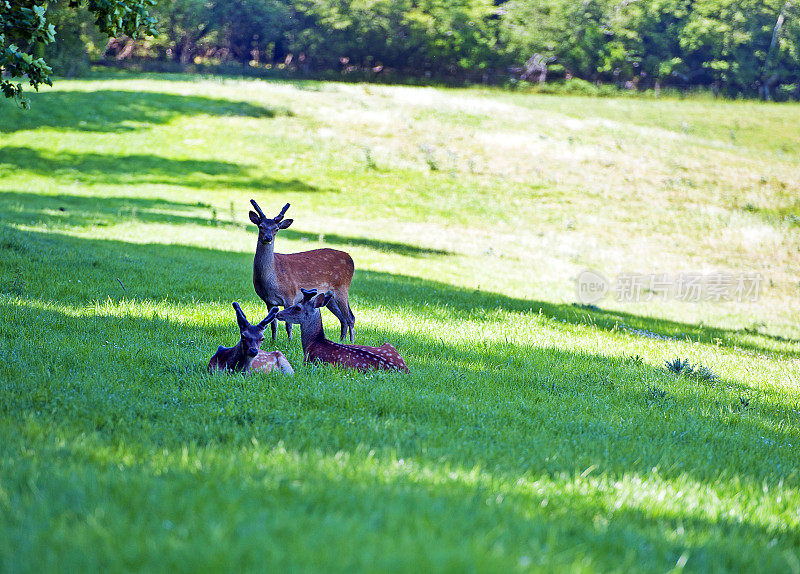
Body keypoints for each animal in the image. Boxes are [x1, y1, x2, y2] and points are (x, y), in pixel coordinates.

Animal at [247, 202, 354, 344]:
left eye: (276, 228)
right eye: (261, 226)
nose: (267, 238)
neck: (271, 279)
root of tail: (351, 259)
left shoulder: (290, 294)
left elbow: (288, 324)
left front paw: (289, 341)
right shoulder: (268, 301)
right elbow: (273, 324)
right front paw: (274, 341)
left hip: (342, 287)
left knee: (350, 317)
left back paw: (351, 342)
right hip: (328, 296)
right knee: (342, 318)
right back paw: (342, 340)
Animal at [278, 288, 410, 374]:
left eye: (297, 308)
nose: (278, 314)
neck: (313, 343)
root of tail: (402, 370)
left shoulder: (312, 362)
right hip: (389, 346)